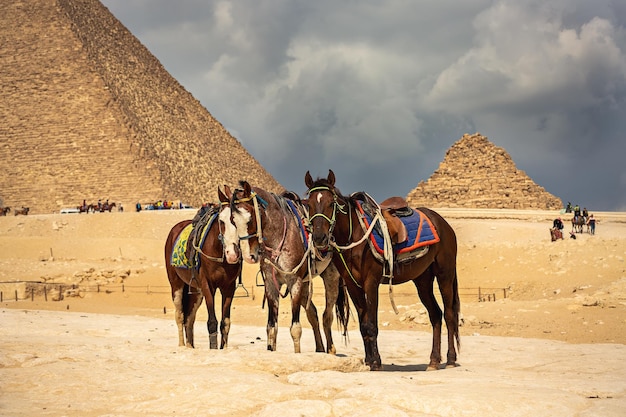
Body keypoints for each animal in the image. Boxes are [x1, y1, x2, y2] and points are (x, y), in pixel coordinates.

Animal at [163, 187, 244, 350]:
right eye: (221, 221)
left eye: (239, 221)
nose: (232, 254)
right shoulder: (207, 285)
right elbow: (212, 322)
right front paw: (213, 348)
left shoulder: (229, 287)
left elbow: (225, 323)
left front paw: (223, 348)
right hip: (177, 285)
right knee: (180, 315)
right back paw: (182, 345)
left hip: (195, 291)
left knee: (189, 317)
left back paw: (190, 346)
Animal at [223, 180, 352, 352]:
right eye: (233, 220)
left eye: (251, 219)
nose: (249, 256)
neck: (278, 239)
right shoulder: (271, 285)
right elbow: (271, 328)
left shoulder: (294, 282)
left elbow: (295, 329)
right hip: (306, 283)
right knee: (313, 313)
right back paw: (319, 348)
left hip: (331, 278)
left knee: (327, 315)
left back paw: (331, 349)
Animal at [304, 170, 460, 370]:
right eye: (308, 204)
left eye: (332, 203)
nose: (319, 238)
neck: (354, 236)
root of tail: (443, 223)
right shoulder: (352, 284)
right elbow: (363, 325)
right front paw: (368, 360)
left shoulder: (371, 281)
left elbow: (371, 324)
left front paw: (376, 362)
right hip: (422, 279)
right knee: (435, 315)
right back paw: (433, 361)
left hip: (445, 274)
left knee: (449, 314)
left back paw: (450, 359)